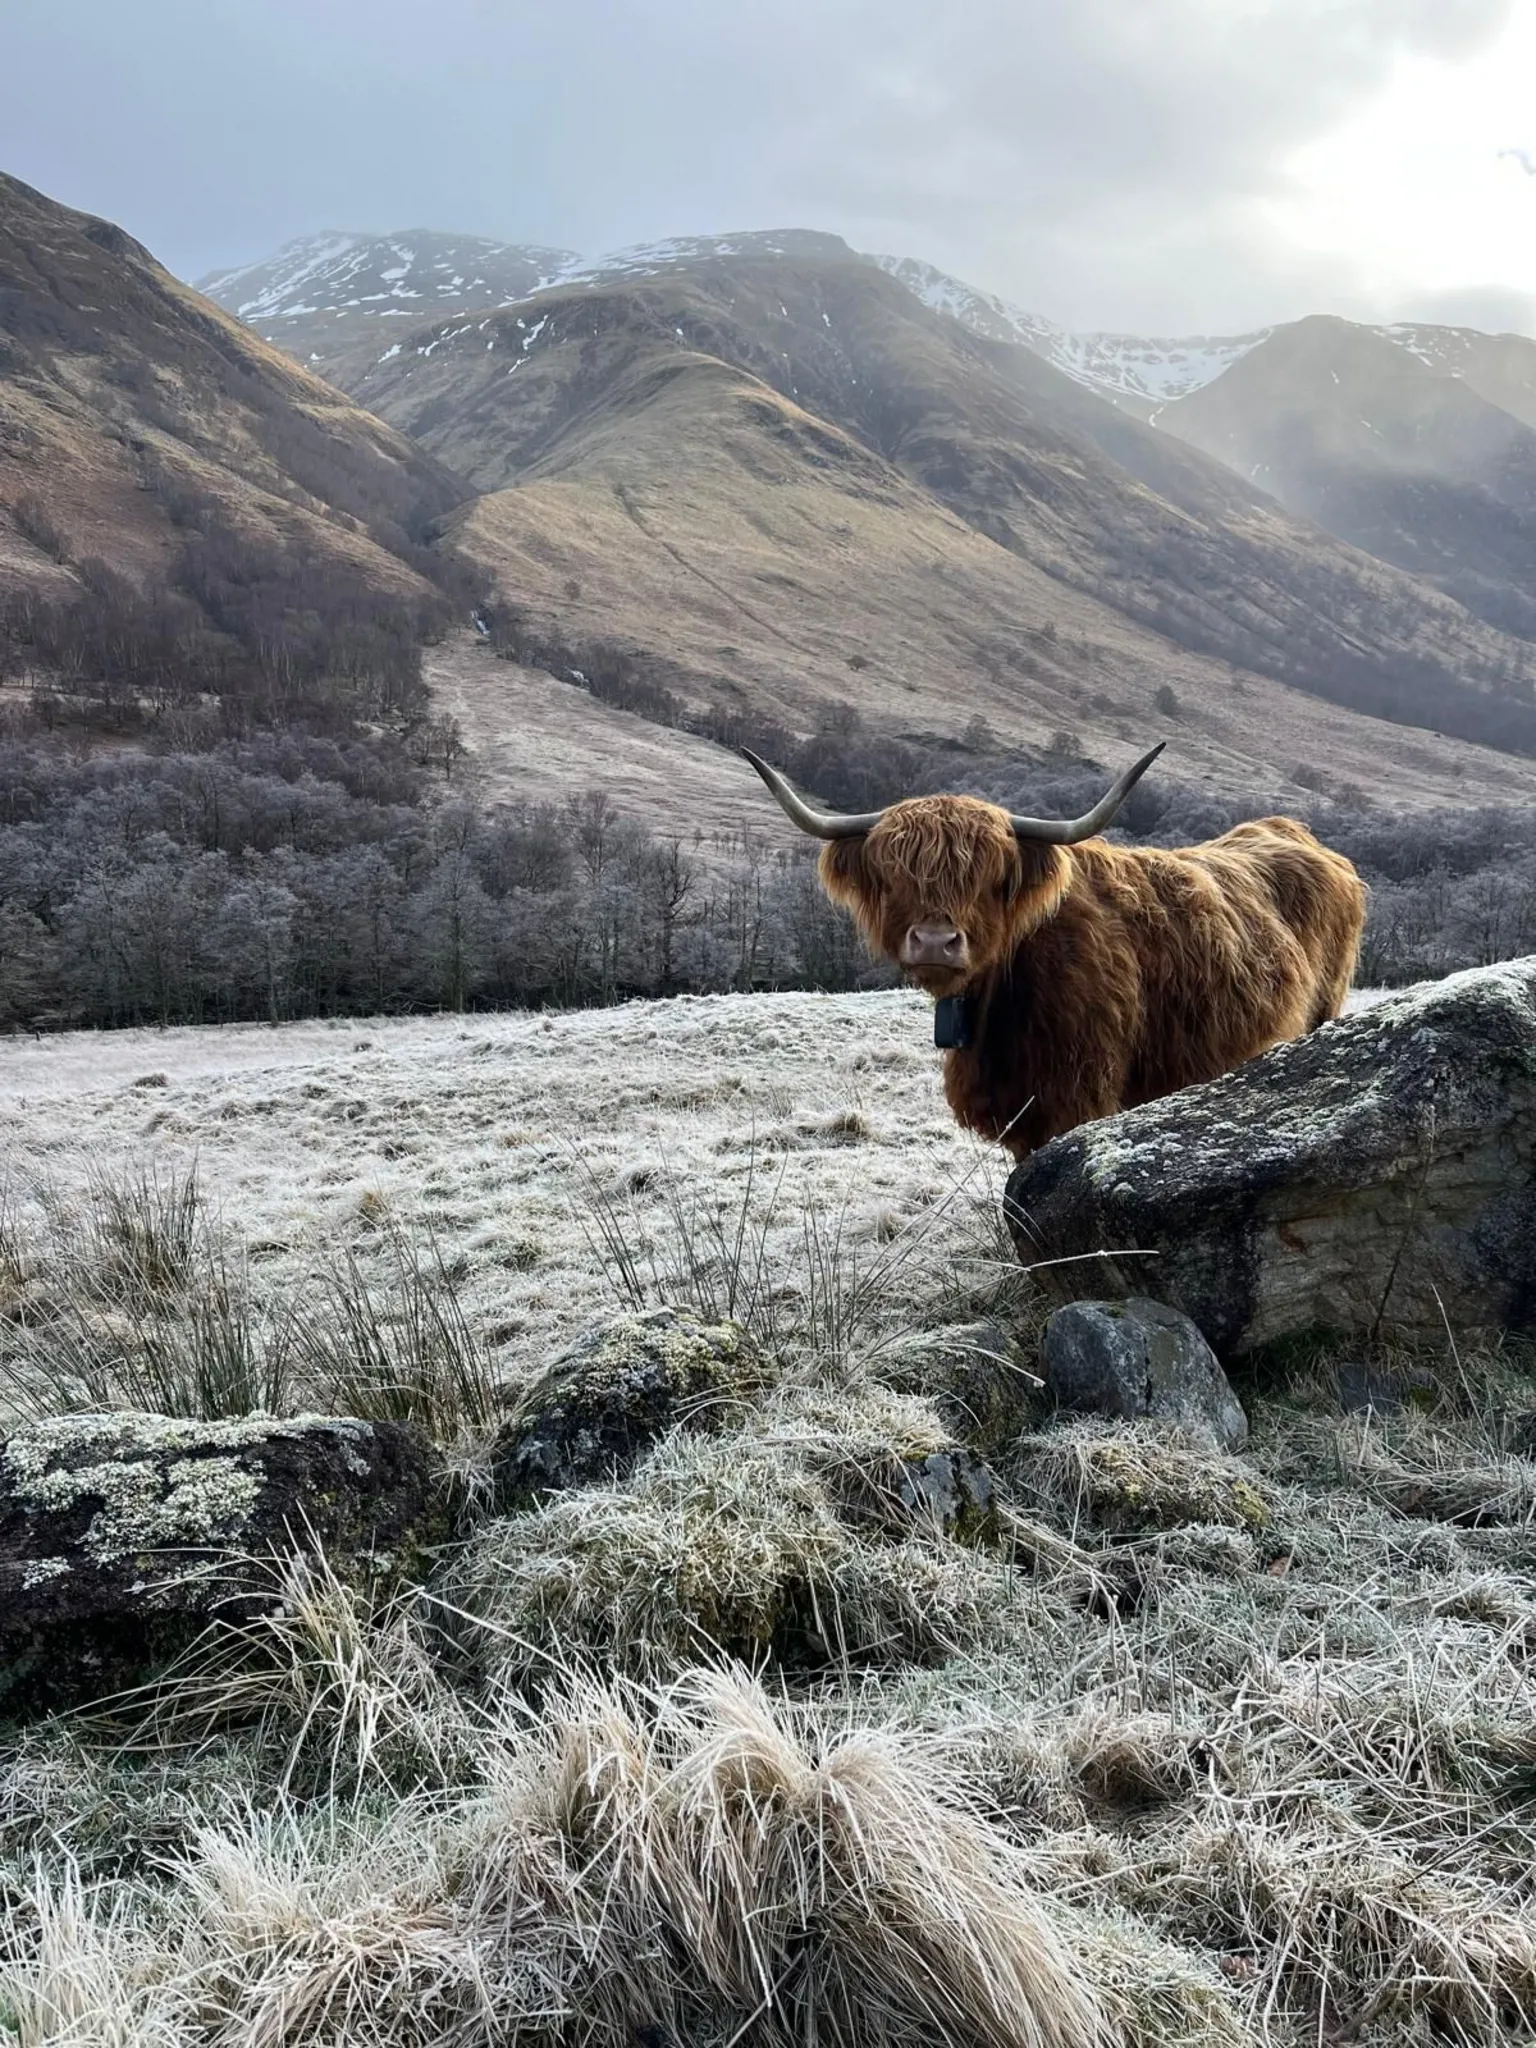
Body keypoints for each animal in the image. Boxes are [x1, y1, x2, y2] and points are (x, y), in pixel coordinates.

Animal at [741, 744, 1367, 1159]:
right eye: (894, 874)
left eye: (992, 878)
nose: (937, 941)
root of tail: (1294, 833)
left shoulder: (1077, 1096)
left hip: (1321, 1015)